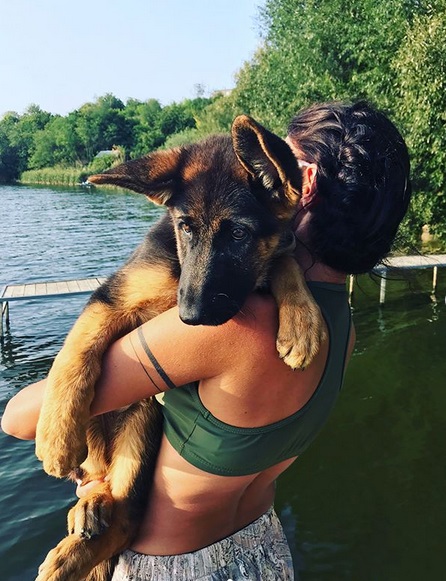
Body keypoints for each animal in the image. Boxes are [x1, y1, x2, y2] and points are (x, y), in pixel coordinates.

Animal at [34, 114, 324, 580]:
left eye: (239, 233)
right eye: (185, 227)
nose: (188, 317)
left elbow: (283, 258)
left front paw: (301, 320)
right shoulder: (110, 298)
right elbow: (74, 355)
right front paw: (56, 436)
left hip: (145, 419)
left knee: (127, 517)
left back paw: (77, 542)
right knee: (108, 493)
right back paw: (81, 521)